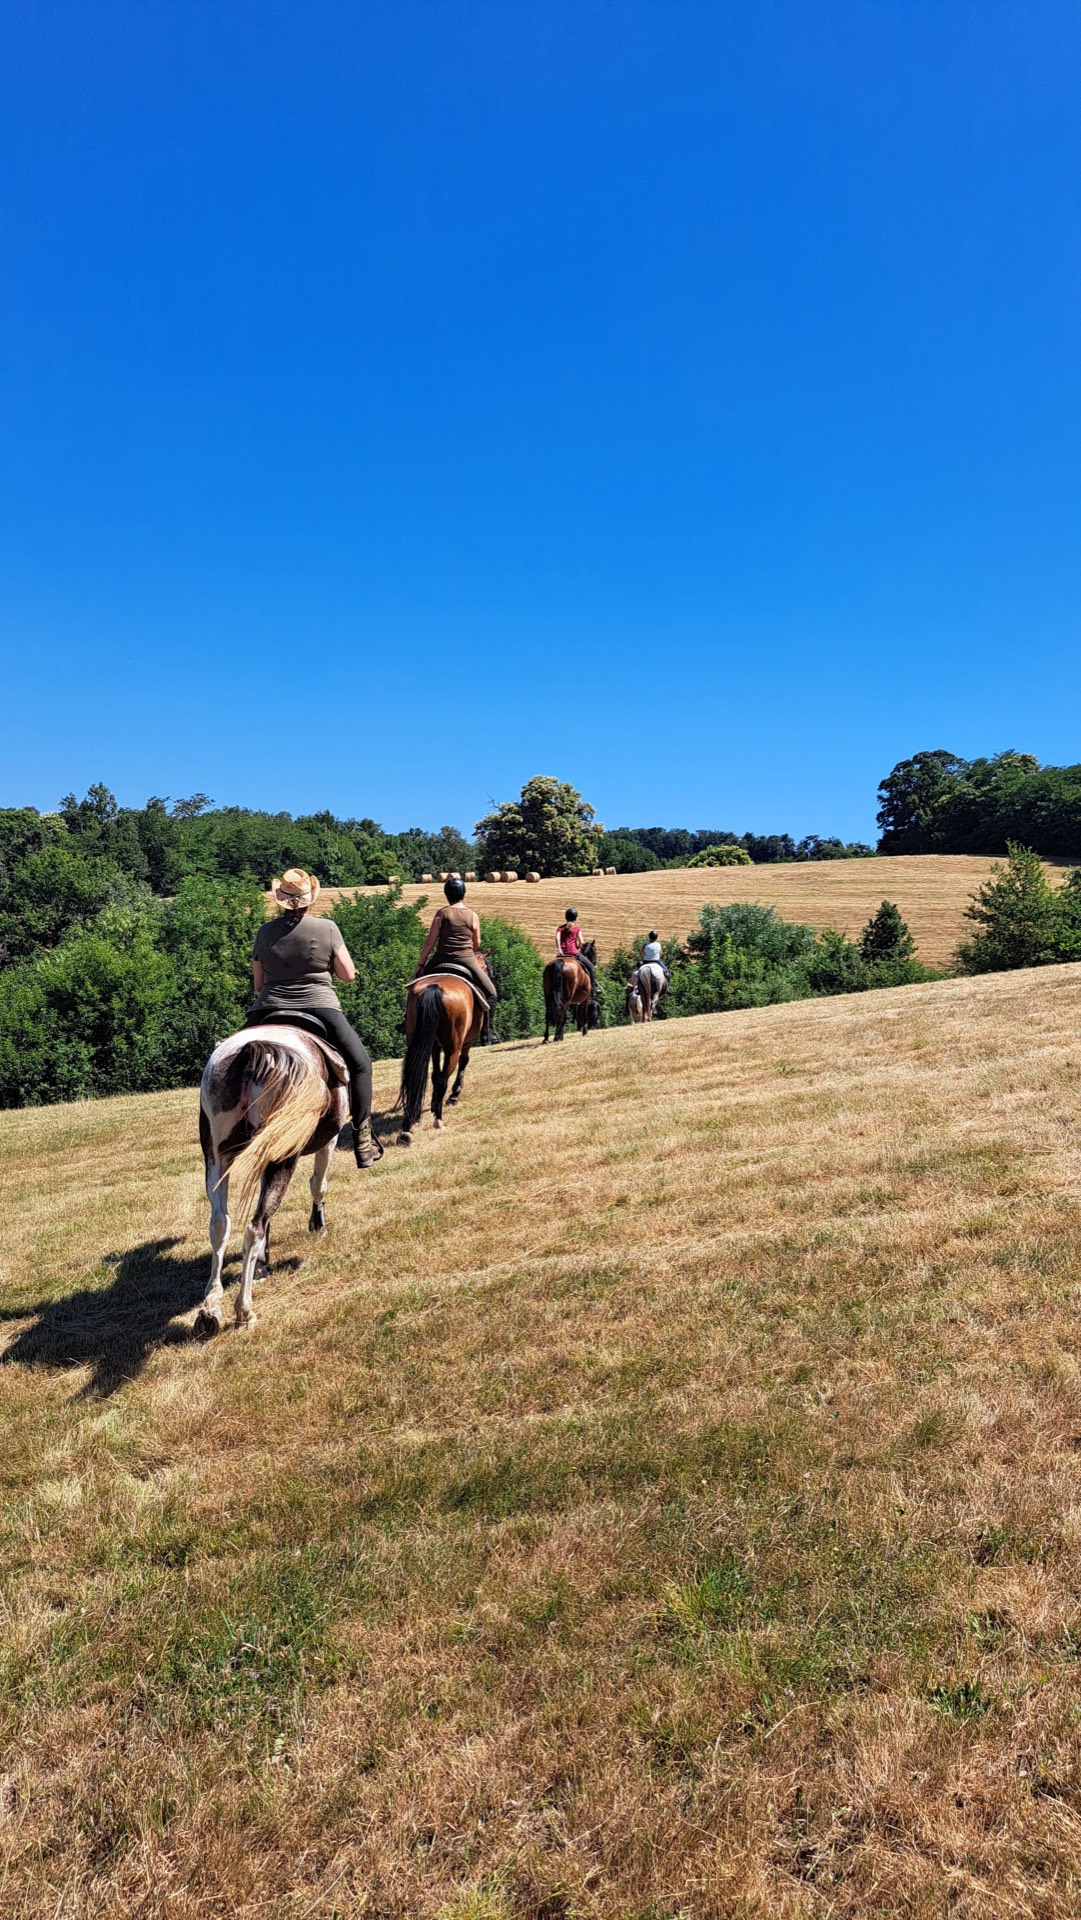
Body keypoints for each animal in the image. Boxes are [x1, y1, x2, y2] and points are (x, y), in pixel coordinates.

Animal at [196, 1024, 349, 1334]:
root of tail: (252, 1049)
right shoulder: (329, 1142)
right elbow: (319, 1184)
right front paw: (318, 1226)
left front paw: (261, 1265)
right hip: (282, 1157)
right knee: (254, 1225)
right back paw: (244, 1310)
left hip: (216, 1156)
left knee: (220, 1223)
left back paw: (210, 1307)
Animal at [398, 973, 485, 1145]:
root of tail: (435, 987)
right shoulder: (467, 1042)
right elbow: (464, 1061)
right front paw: (454, 1095)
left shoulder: (434, 1047)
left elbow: (433, 1074)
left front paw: (432, 1103)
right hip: (452, 1049)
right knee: (443, 1080)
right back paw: (438, 1120)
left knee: (415, 1078)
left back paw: (408, 1127)